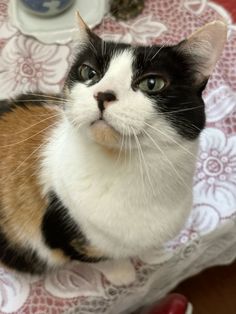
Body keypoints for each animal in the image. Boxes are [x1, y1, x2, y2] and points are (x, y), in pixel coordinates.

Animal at [0, 14, 227, 274]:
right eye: (88, 73)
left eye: (152, 83)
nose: (103, 94)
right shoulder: (63, 234)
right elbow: (103, 260)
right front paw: (123, 273)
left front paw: (155, 255)